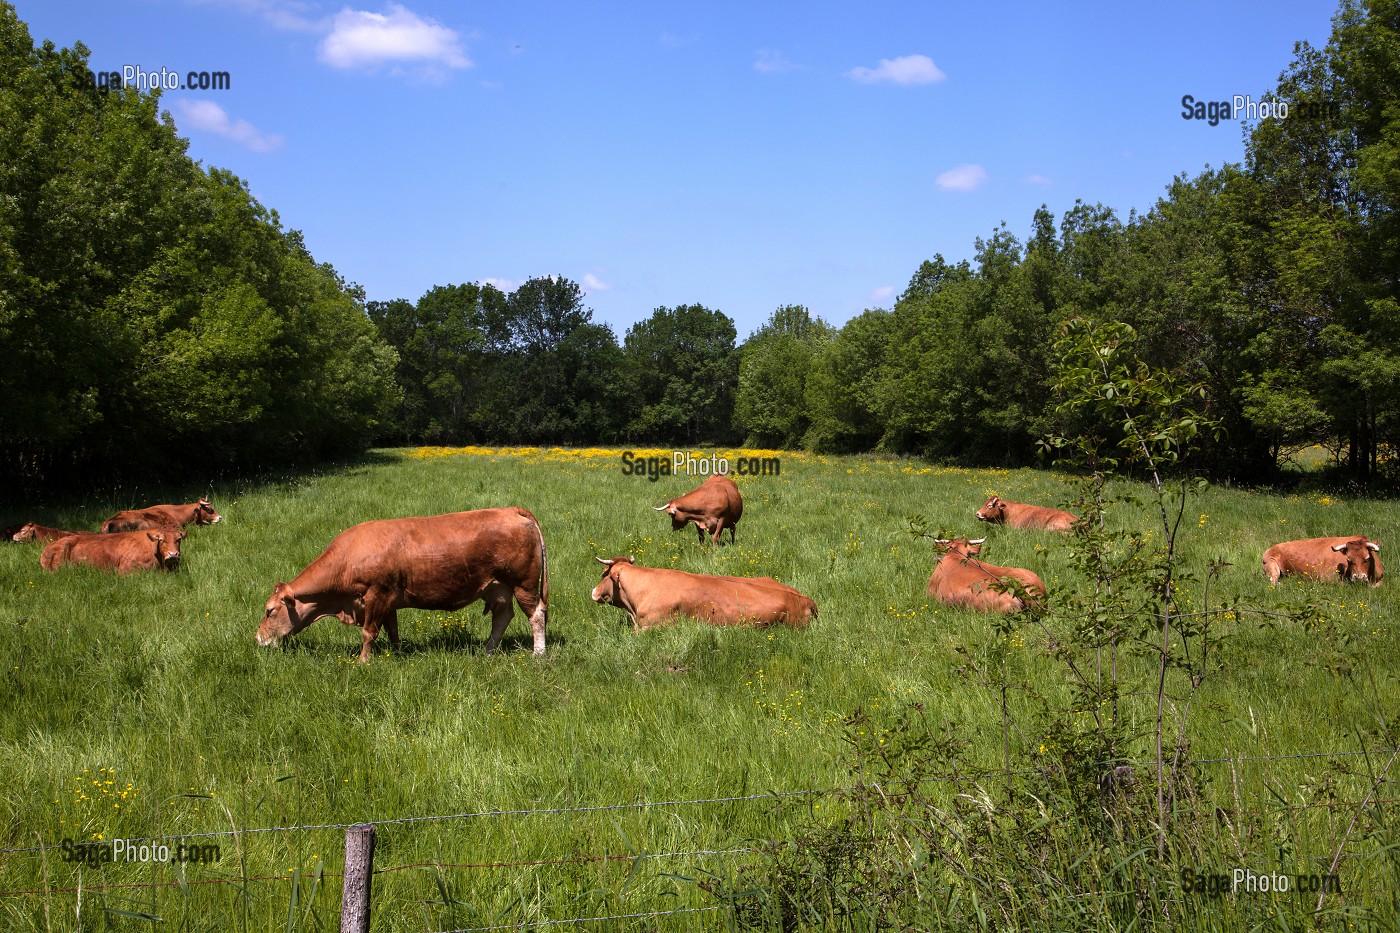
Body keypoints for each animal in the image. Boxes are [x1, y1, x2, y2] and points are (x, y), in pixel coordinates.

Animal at [255, 507, 548, 664]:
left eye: (270, 610)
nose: (258, 638)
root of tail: (510, 510)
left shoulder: (376, 595)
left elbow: (368, 633)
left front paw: (362, 662)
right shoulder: (388, 601)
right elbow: (392, 630)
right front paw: (396, 654)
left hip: (523, 584)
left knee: (536, 614)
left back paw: (538, 653)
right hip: (497, 587)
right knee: (503, 616)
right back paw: (487, 651)